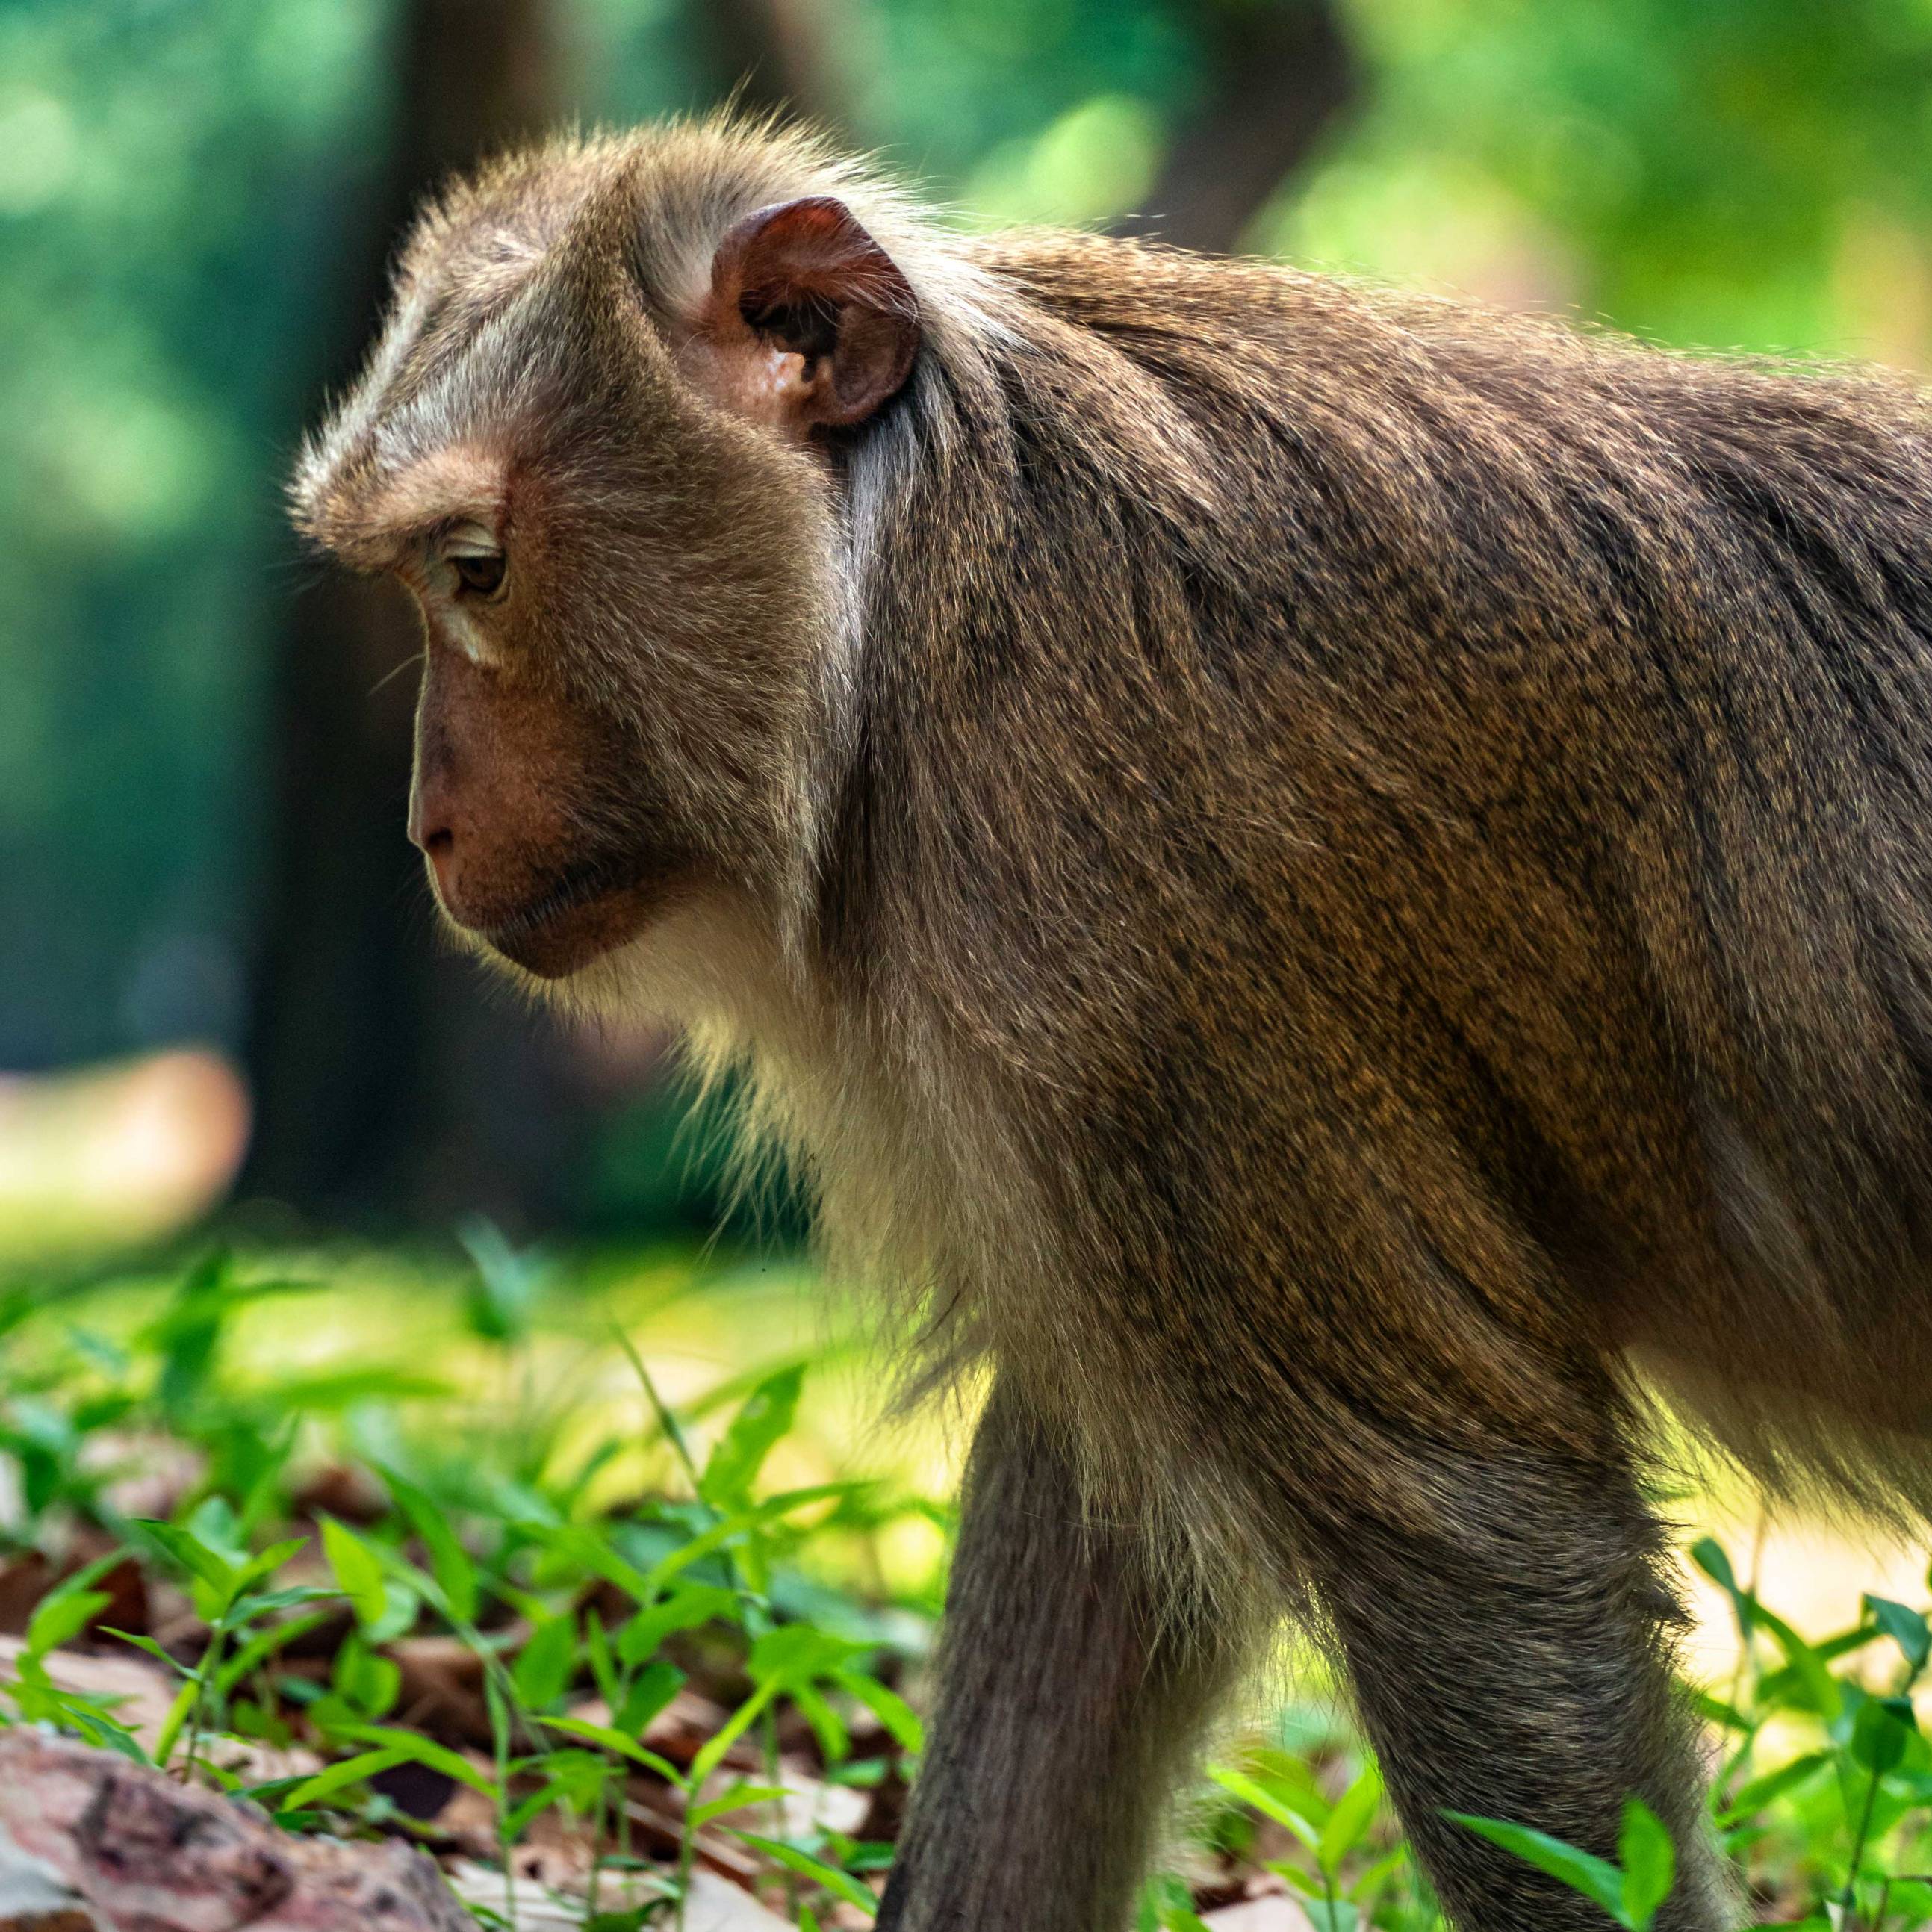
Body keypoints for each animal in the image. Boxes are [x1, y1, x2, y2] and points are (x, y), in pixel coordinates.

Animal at [289, 113, 1932, 1930]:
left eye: (476, 570)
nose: (430, 827)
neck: (917, 601)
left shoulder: (1114, 900)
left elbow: (1468, 1524)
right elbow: (1099, 1527)